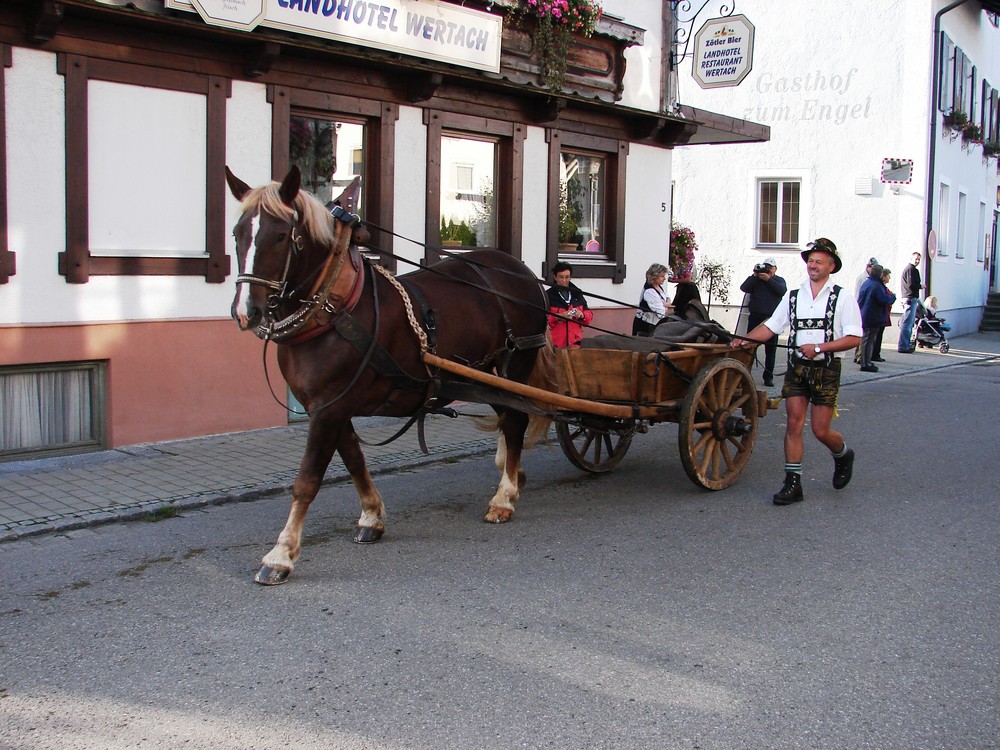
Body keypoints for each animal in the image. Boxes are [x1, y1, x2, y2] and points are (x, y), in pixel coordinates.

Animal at [225, 167, 556, 584]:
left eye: (282, 235)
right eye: (238, 233)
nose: (245, 312)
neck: (334, 309)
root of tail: (521, 270)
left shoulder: (328, 409)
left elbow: (307, 480)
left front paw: (280, 555)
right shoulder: (332, 406)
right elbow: (354, 460)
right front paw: (371, 517)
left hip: (516, 362)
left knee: (514, 421)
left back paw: (504, 496)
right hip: (485, 373)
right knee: (505, 417)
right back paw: (511, 477)